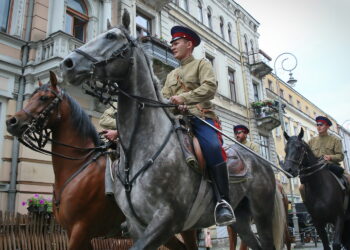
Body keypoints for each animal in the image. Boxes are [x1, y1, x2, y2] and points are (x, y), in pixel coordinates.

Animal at [6, 71, 197, 250]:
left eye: (44, 98)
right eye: (32, 96)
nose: (12, 122)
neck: (78, 165)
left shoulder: (80, 230)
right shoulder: (75, 233)